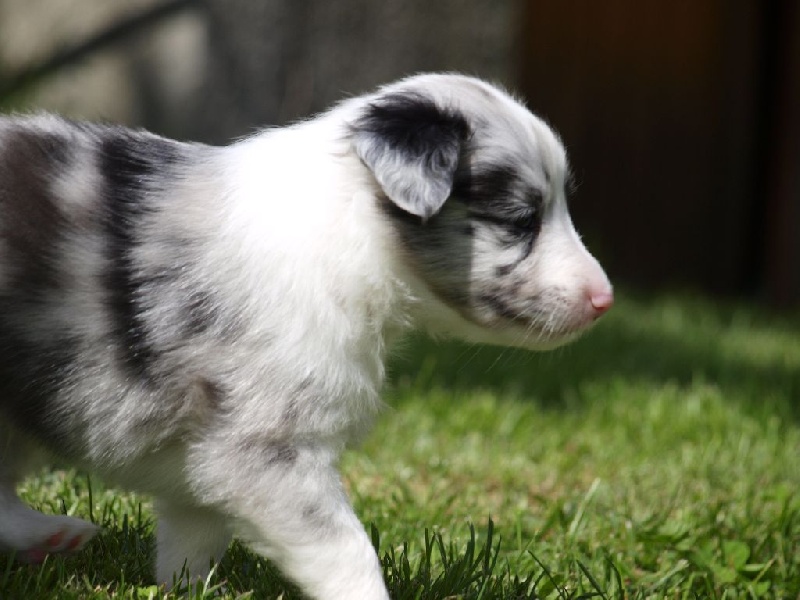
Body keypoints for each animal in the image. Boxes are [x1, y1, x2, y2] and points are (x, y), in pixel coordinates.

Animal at [0, 73, 612, 599]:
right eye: (520, 219)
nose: (604, 300)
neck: (352, 230)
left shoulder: (206, 448)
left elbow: (193, 533)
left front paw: (185, 590)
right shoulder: (268, 447)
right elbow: (346, 551)